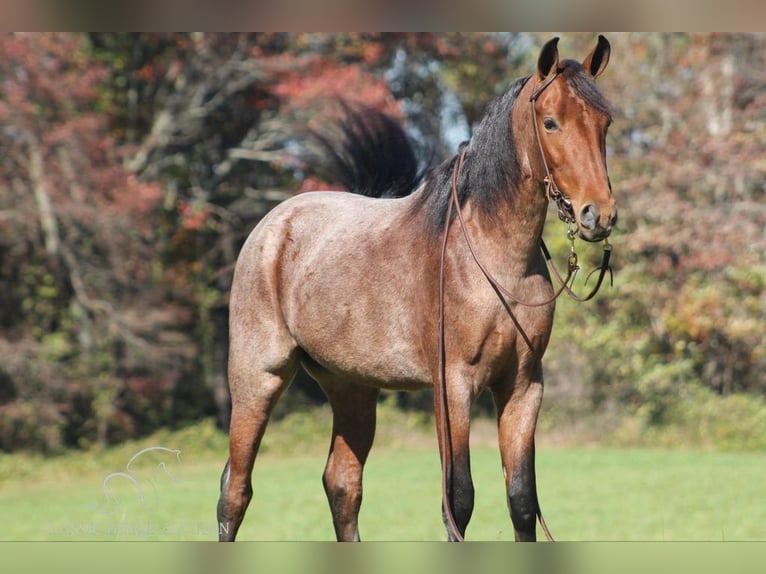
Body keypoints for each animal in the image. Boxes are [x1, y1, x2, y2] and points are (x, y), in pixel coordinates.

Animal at [216, 36, 616, 544]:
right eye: (551, 122)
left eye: (604, 122)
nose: (598, 215)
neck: (493, 259)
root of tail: (271, 227)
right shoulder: (452, 386)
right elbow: (458, 500)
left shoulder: (523, 387)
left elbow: (523, 500)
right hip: (257, 377)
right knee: (236, 490)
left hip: (351, 387)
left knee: (342, 484)